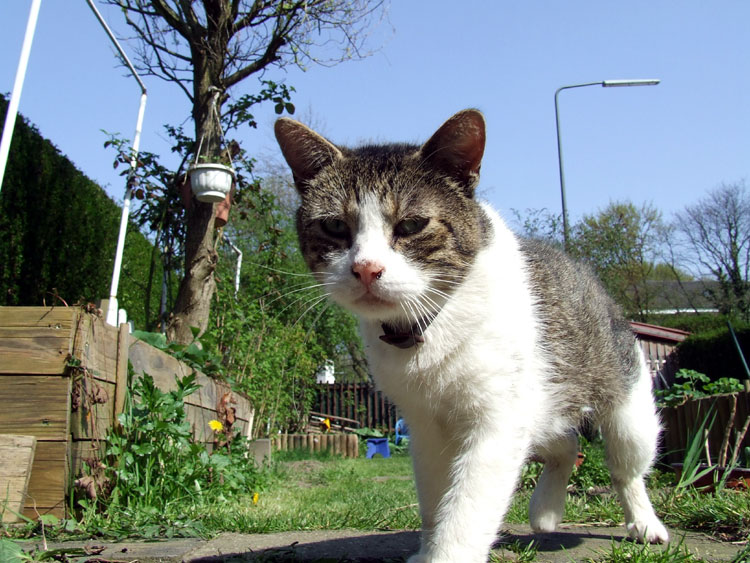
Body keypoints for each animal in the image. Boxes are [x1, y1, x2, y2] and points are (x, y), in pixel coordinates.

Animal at [274, 108, 668, 560]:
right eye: (336, 226)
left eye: (412, 225)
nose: (366, 268)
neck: (428, 326)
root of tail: (589, 275)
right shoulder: (425, 428)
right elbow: (434, 499)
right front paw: (428, 547)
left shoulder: (496, 422)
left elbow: (468, 505)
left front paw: (447, 552)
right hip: (542, 405)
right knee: (566, 444)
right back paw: (546, 510)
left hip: (626, 410)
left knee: (626, 470)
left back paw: (644, 524)